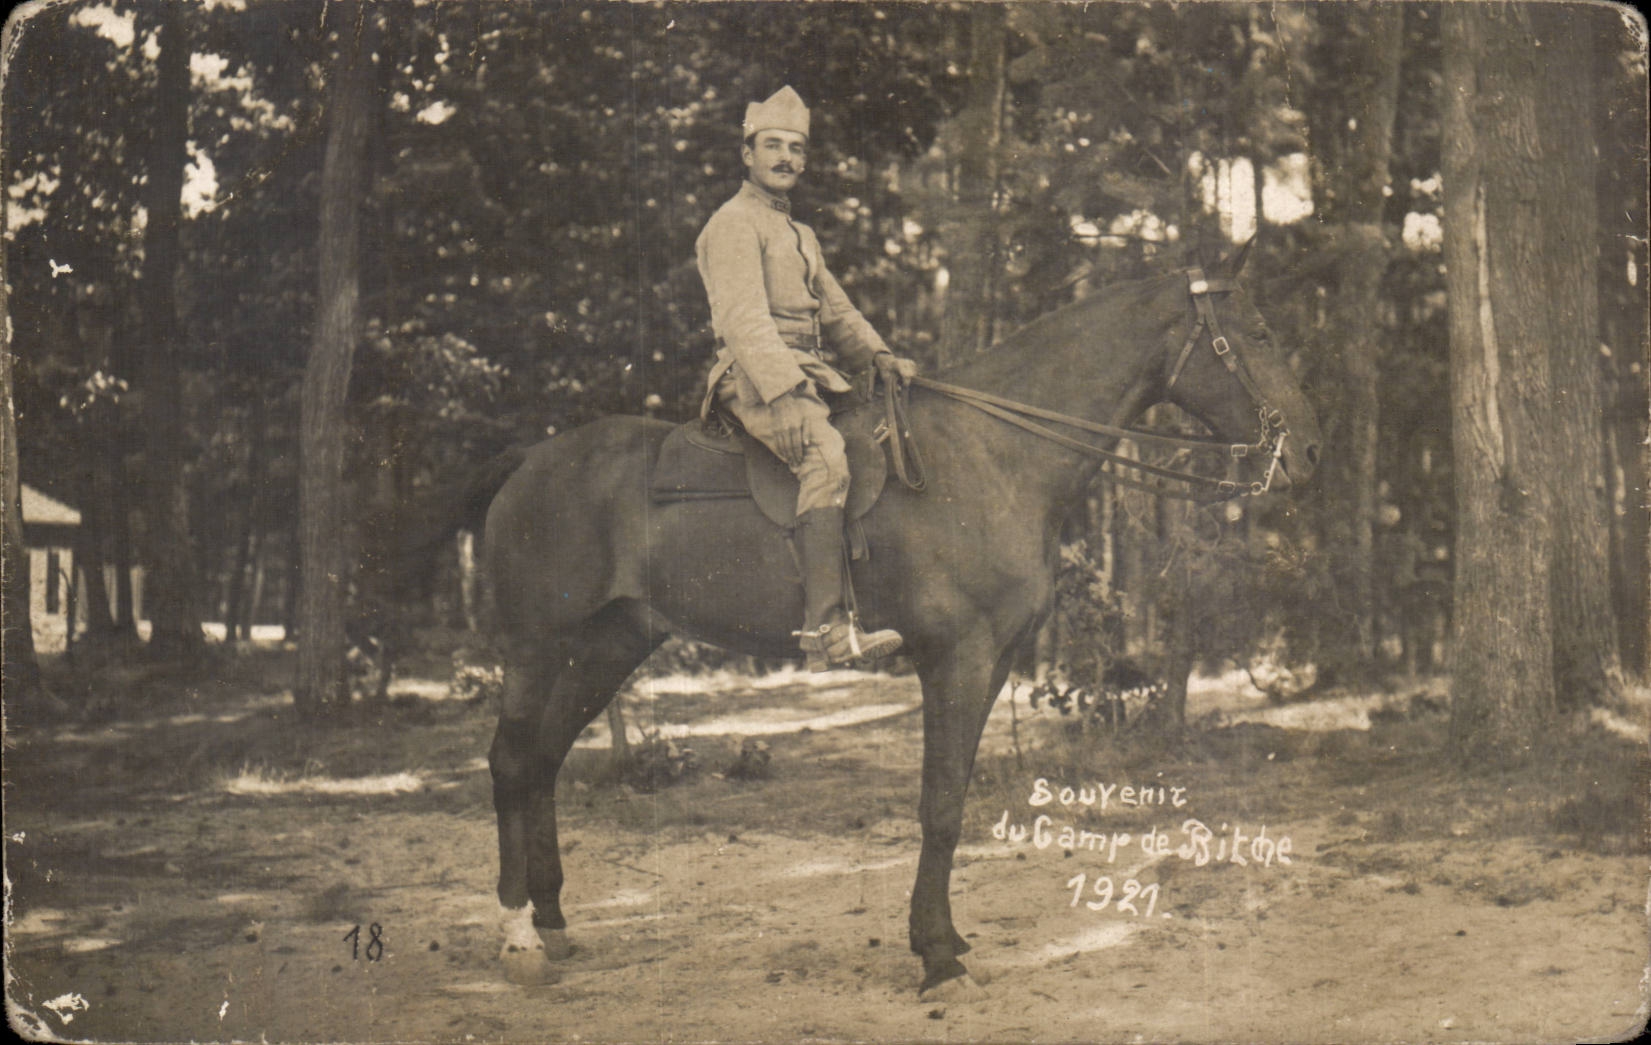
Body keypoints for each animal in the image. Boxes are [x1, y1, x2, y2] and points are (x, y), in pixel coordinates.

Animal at [477, 252, 1320, 999]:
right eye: (1255, 332)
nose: (1306, 452)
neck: (994, 454)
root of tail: (525, 464)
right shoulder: (956, 658)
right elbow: (939, 804)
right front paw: (936, 957)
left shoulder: (992, 661)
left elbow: (952, 797)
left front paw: (945, 940)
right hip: (537, 648)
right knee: (513, 761)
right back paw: (518, 940)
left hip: (607, 645)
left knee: (545, 759)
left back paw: (552, 921)